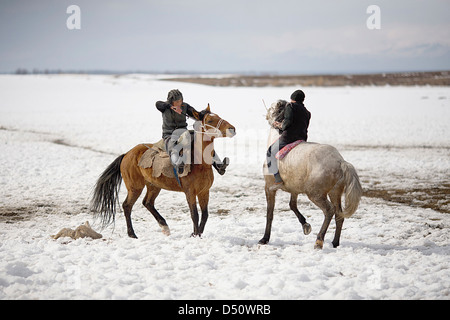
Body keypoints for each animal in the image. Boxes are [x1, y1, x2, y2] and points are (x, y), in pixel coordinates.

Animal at [91, 106, 236, 239]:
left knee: (147, 203)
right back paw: (132, 234)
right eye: (210, 120)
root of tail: (126, 154)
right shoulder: (190, 192)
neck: (199, 162)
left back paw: (164, 227)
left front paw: (197, 234)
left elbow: (205, 215)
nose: (232, 129)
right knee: (127, 206)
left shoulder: (204, 191)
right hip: (135, 187)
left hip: (153, 185)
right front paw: (195, 235)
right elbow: (194, 214)